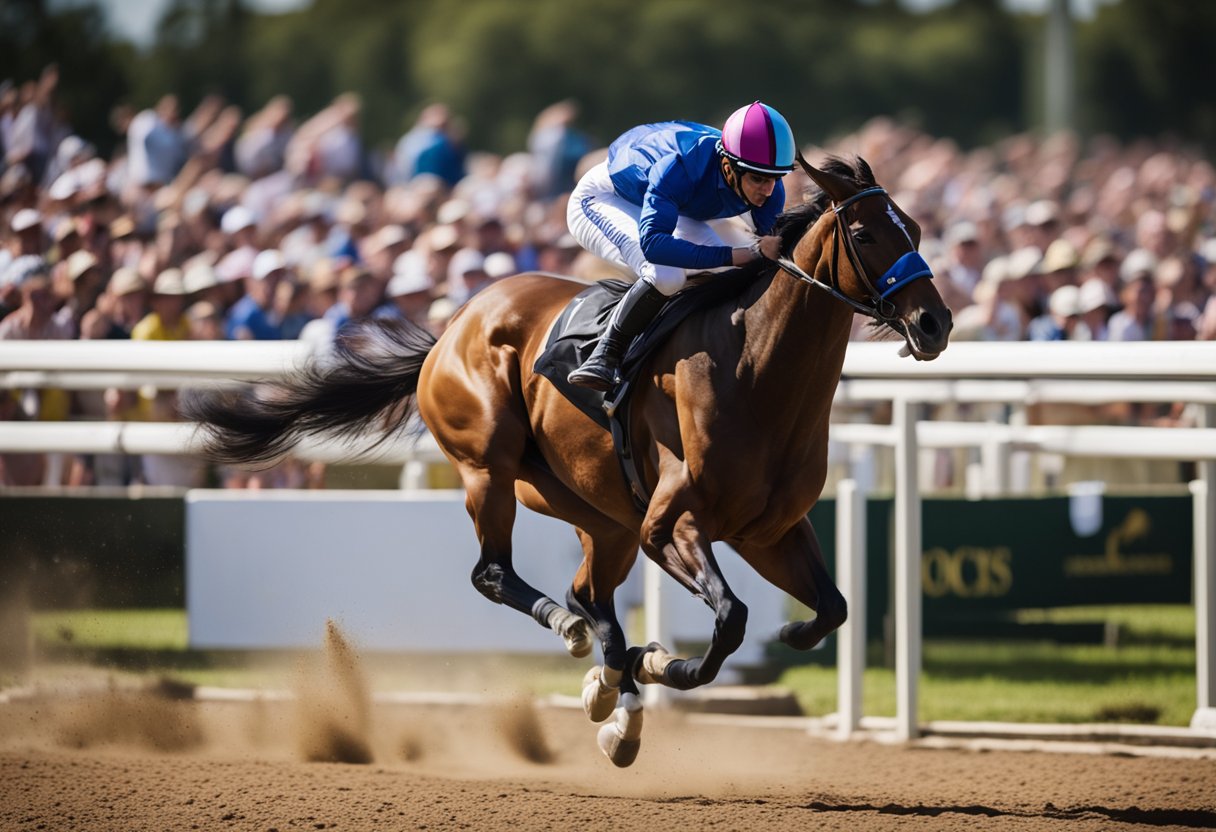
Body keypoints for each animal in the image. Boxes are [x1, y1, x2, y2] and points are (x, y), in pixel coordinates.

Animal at [187, 154, 948, 768]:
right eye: (866, 234)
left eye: (914, 227)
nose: (934, 323)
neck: (757, 372)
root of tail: (453, 326)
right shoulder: (670, 525)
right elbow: (729, 618)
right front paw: (663, 661)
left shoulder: (770, 531)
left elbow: (832, 608)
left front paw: (777, 632)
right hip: (492, 469)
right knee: (499, 574)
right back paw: (583, 644)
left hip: (598, 513)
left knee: (589, 590)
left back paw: (614, 704)